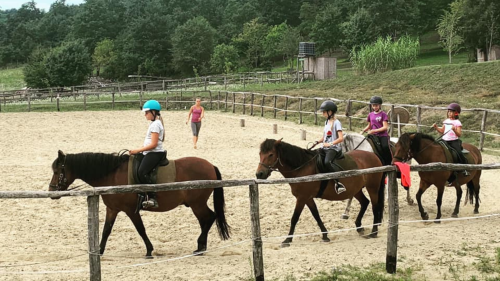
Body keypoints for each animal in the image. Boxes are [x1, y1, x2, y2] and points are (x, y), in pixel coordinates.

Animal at [256, 138, 384, 245]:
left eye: (271, 154)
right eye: (260, 154)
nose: (259, 174)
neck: (302, 168)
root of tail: (374, 156)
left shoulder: (302, 198)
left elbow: (294, 218)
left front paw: (288, 239)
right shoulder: (307, 198)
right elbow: (316, 215)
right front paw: (325, 235)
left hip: (372, 188)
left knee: (375, 207)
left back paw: (374, 232)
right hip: (356, 190)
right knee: (365, 202)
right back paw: (359, 226)